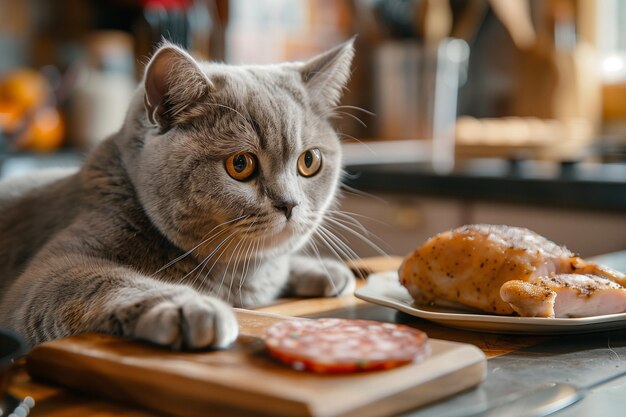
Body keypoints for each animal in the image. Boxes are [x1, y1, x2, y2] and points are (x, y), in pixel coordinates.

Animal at [0, 39, 354, 352]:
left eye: (309, 161)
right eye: (240, 164)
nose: (290, 204)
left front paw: (323, 269)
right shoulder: (48, 272)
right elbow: (104, 279)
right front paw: (189, 306)